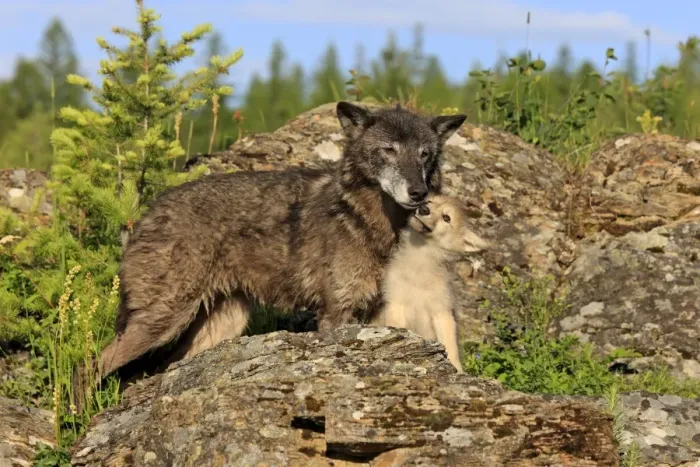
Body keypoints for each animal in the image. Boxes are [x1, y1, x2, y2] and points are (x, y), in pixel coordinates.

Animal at [96, 101, 467, 379]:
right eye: (388, 151)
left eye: (424, 154)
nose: (419, 193)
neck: (368, 223)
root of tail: (147, 213)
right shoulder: (336, 313)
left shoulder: (376, 312)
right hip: (162, 322)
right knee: (93, 366)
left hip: (219, 328)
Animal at [369, 195, 488, 372]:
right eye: (429, 202)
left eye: (447, 218)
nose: (424, 209)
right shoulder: (395, 304)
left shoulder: (442, 312)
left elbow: (451, 348)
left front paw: (457, 370)